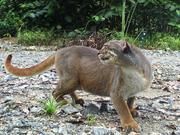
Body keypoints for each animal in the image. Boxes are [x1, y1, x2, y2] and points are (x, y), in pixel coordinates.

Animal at [4, 40, 152, 132]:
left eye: (106, 47)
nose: (98, 52)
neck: (131, 70)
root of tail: (59, 50)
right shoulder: (116, 93)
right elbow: (123, 109)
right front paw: (130, 124)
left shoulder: (133, 92)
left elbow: (130, 102)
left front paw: (132, 110)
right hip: (71, 80)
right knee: (55, 91)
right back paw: (63, 101)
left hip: (75, 81)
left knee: (66, 90)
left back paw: (77, 99)